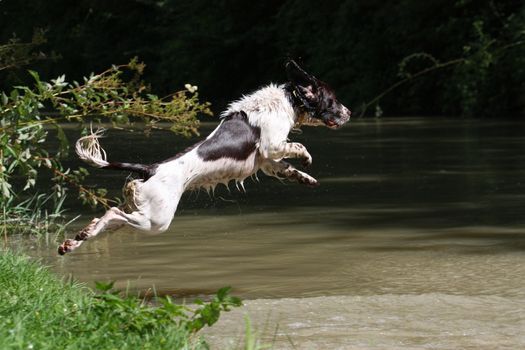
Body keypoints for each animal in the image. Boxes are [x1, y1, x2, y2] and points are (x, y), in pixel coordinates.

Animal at [58, 60, 348, 254]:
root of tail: (150, 168)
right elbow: (298, 145)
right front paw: (307, 159)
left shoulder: (267, 162)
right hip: (156, 220)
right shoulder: (272, 146)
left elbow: (287, 168)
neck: (288, 99)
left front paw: (306, 178)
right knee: (113, 212)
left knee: (104, 220)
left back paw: (72, 242)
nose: (349, 112)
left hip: (140, 211)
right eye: (333, 100)